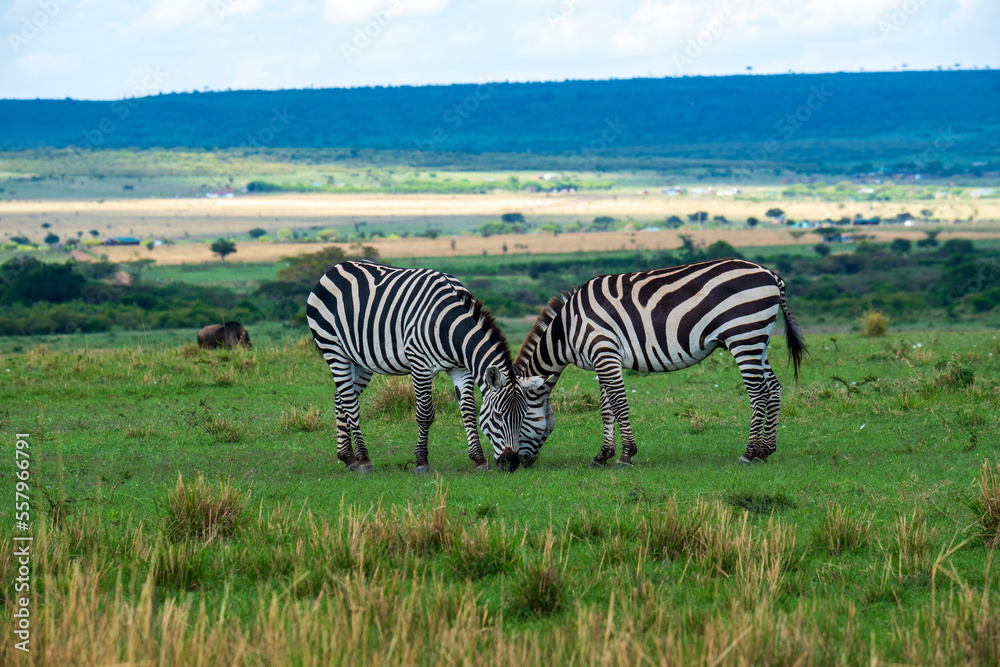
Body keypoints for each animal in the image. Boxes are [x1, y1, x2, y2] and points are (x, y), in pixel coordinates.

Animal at [305, 260, 540, 473]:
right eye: (498, 416)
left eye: (523, 416)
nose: (511, 464)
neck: (448, 326)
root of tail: (336, 267)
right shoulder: (420, 365)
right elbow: (425, 414)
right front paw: (421, 462)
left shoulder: (461, 368)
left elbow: (468, 411)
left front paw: (479, 460)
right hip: (333, 348)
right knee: (350, 403)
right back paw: (363, 460)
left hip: (359, 360)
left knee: (341, 398)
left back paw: (347, 457)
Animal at [513, 258, 806, 468]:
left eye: (509, 418)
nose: (510, 465)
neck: (566, 331)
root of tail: (770, 274)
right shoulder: (604, 358)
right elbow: (607, 409)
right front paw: (603, 455)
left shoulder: (604, 351)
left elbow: (619, 404)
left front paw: (626, 456)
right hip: (758, 340)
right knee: (774, 389)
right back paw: (765, 450)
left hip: (743, 336)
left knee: (759, 394)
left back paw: (748, 453)